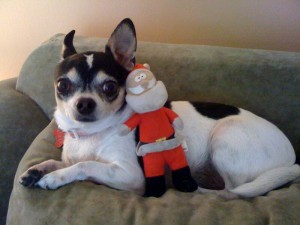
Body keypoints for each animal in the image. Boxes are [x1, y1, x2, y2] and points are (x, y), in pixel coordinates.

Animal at [19, 18, 298, 198]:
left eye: (109, 87)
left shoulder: (130, 175)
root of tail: (292, 159)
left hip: (224, 138)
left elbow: (85, 166)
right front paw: (37, 170)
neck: (91, 135)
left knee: (232, 192)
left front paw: (55, 178)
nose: (84, 103)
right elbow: (59, 161)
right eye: (63, 85)